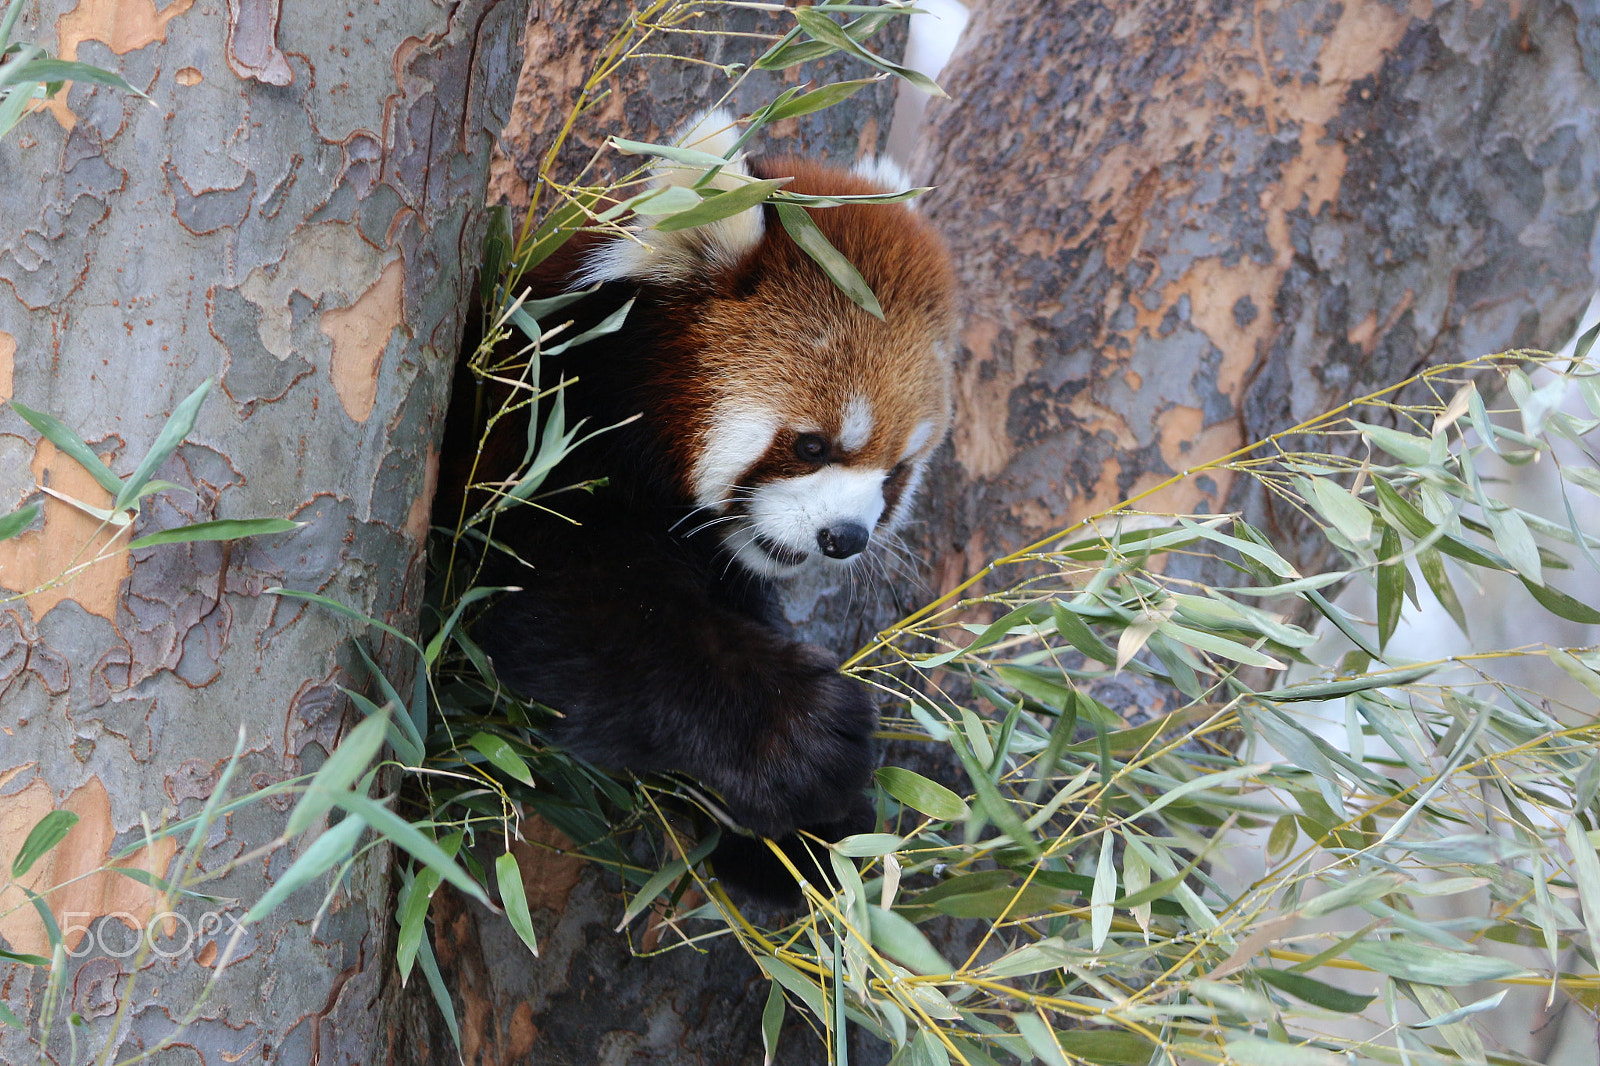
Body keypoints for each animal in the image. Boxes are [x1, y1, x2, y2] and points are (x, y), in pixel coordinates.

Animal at [461, 109, 956, 901]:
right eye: (812, 445)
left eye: (896, 474)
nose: (845, 537)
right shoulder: (532, 432)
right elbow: (574, 612)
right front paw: (798, 737)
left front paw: (810, 840)